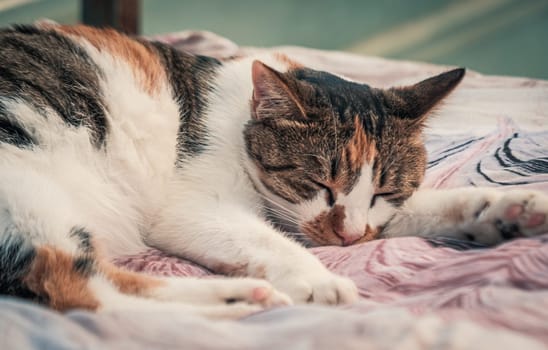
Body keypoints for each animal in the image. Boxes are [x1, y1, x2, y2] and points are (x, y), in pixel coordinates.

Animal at [1, 23, 548, 320]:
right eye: (319, 183)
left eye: (383, 192)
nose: (348, 238)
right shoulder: (193, 206)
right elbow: (267, 238)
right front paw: (320, 278)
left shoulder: (377, 220)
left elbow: (432, 205)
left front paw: (511, 206)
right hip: (30, 190)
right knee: (76, 290)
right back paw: (241, 302)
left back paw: (241, 297)